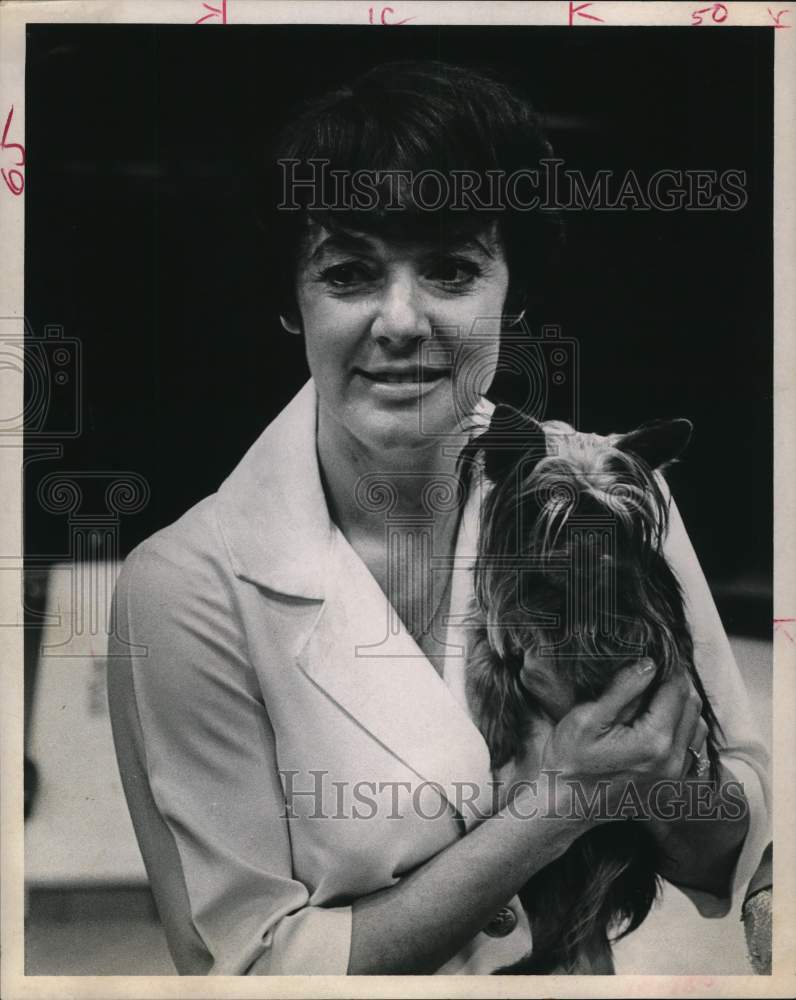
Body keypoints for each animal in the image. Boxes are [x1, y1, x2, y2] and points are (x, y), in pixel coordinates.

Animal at [460, 402, 728, 972]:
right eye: (550, 508)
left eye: (613, 519)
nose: (590, 549)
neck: (569, 602)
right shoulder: (501, 616)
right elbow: (490, 645)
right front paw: (496, 726)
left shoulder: (645, 623)